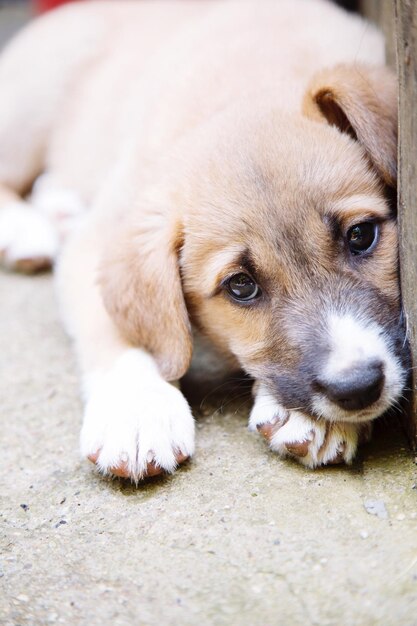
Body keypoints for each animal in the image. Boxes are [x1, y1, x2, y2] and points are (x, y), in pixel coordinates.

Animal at [0, 0, 408, 480]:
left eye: (361, 235)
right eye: (241, 286)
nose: (357, 387)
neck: (244, 87)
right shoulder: (98, 242)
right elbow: (121, 334)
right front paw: (136, 410)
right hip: (28, 110)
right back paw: (27, 232)